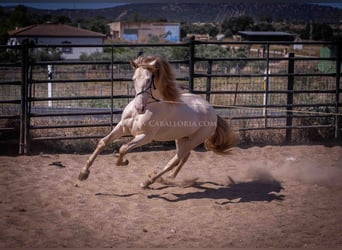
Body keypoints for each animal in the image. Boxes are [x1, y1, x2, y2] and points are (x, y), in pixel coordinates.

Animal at [78, 54, 236, 188]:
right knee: (183, 158)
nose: (139, 107)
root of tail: (213, 112)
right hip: (181, 138)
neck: (148, 108)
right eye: (133, 78)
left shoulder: (146, 136)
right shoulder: (123, 127)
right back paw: (170, 178)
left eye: (149, 80)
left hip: (193, 140)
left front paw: (123, 162)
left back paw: (149, 182)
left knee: (174, 161)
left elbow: (123, 148)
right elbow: (103, 142)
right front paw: (83, 174)